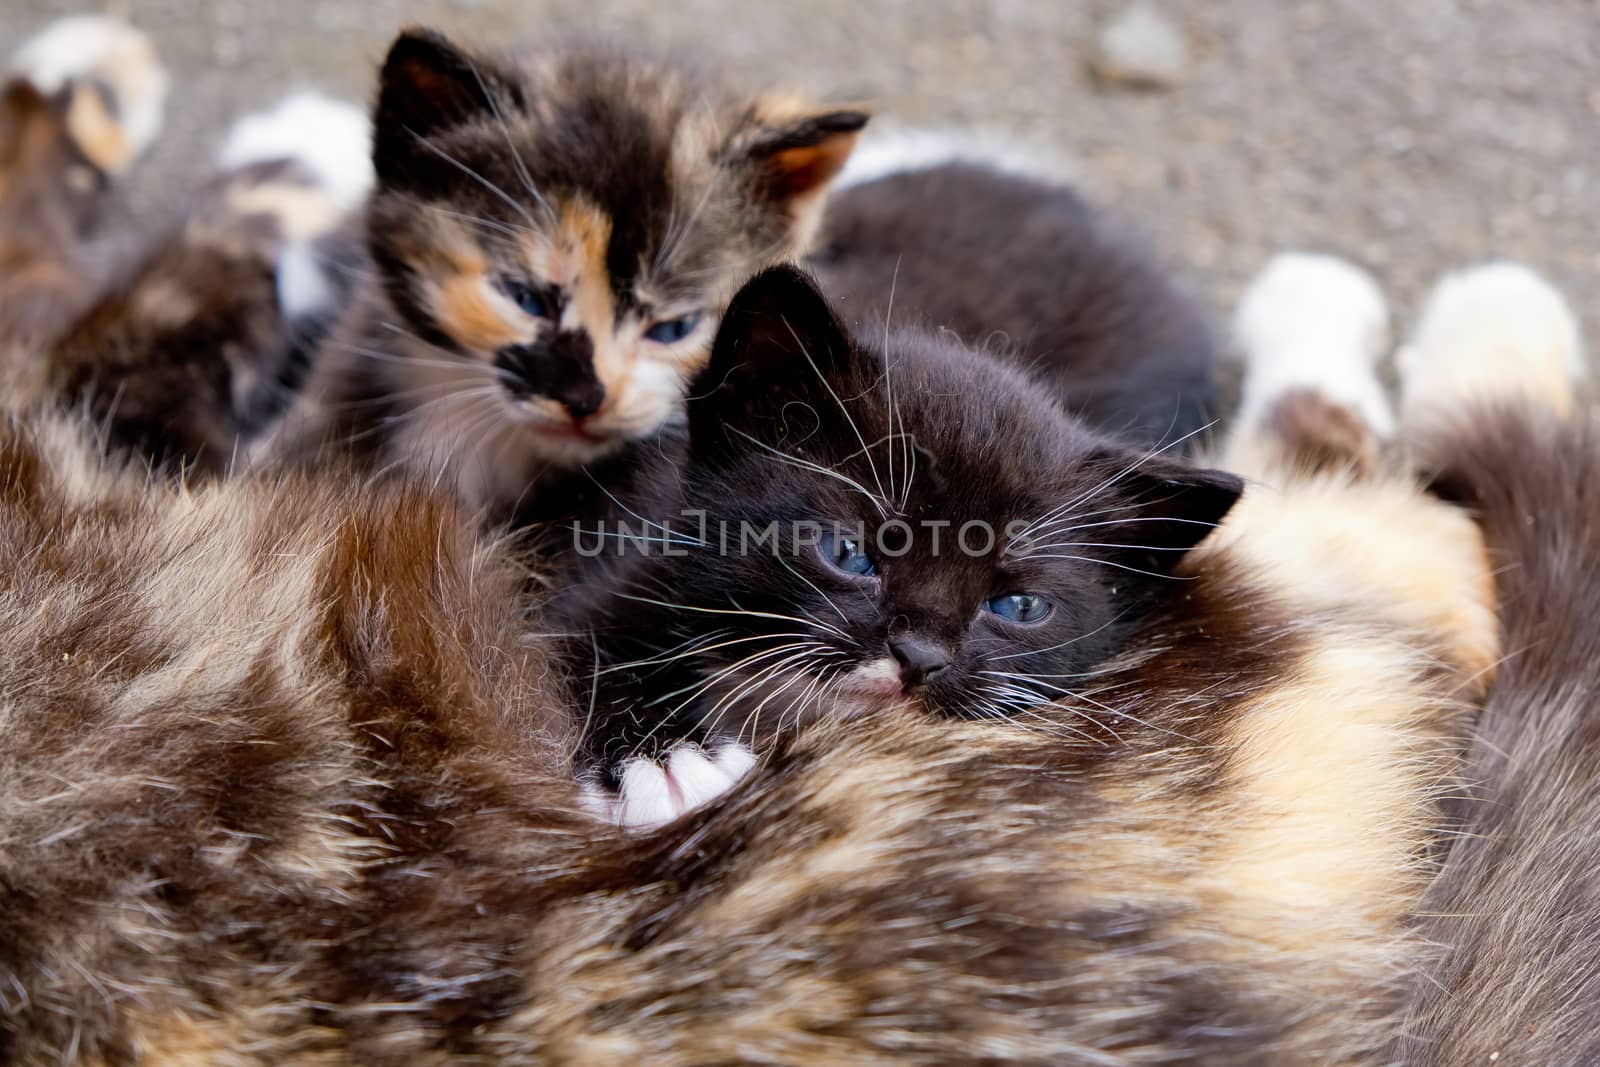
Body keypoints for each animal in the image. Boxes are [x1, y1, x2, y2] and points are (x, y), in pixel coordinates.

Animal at [556, 265, 1241, 819]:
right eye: (848, 554)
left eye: (1019, 607)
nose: (919, 657)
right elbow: (581, 632)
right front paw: (670, 762)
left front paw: (671, 762)